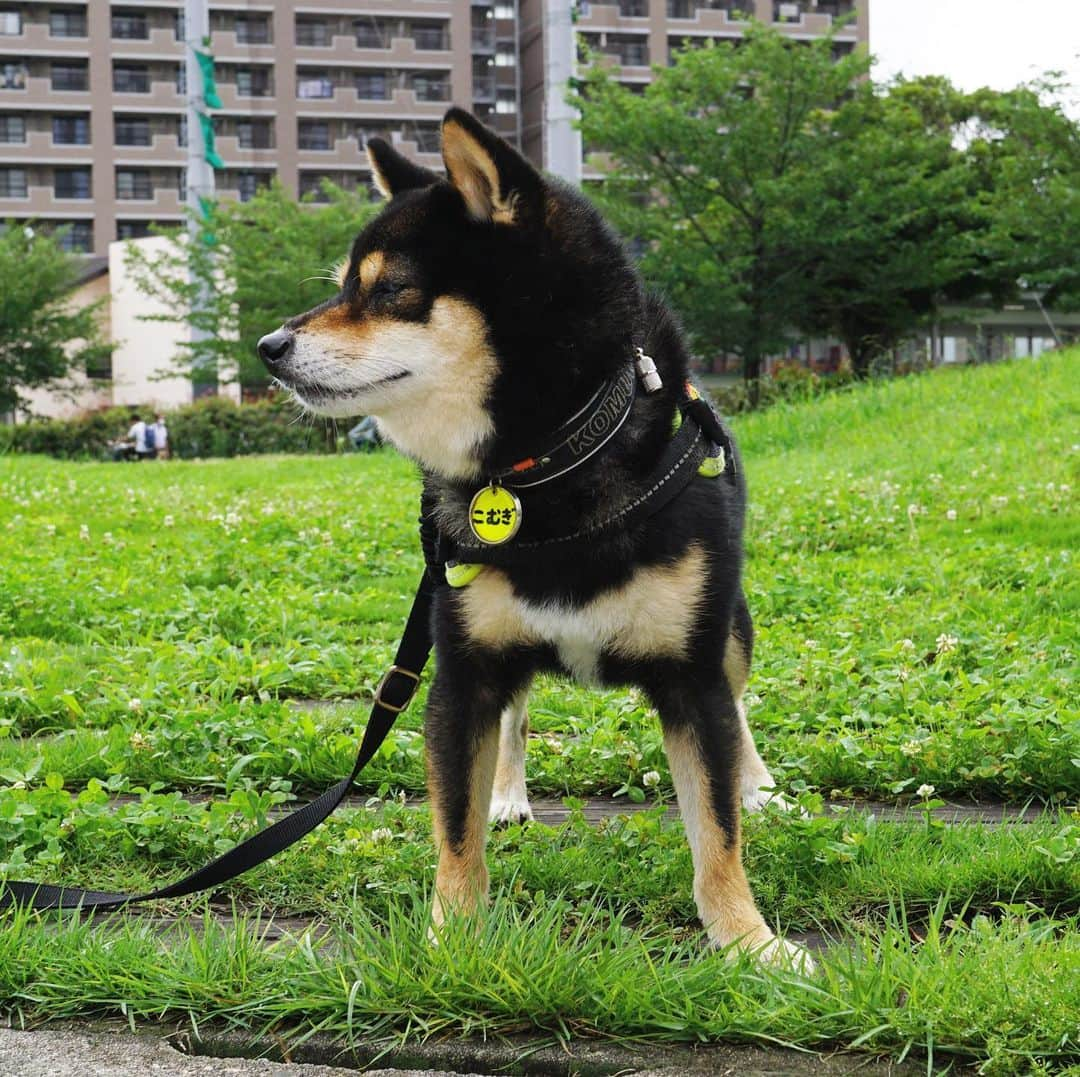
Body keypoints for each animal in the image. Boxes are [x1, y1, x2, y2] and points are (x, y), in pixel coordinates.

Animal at [257, 109, 807, 967]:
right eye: (346, 284)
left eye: (389, 289)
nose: (268, 347)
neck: (546, 465)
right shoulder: (464, 675)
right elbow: (455, 833)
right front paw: (453, 936)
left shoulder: (693, 679)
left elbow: (717, 835)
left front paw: (751, 942)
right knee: (516, 720)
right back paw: (508, 794)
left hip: (732, 629)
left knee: (739, 701)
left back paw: (758, 782)